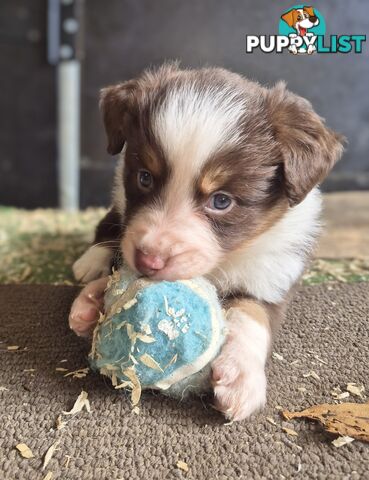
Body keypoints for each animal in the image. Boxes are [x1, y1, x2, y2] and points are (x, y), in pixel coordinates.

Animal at [68, 62, 342, 420]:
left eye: (221, 201)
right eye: (144, 178)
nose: (149, 260)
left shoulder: (274, 273)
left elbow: (252, 314)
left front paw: (240, 378)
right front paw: (92, 300)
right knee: (110, 224)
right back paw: (91, 263)